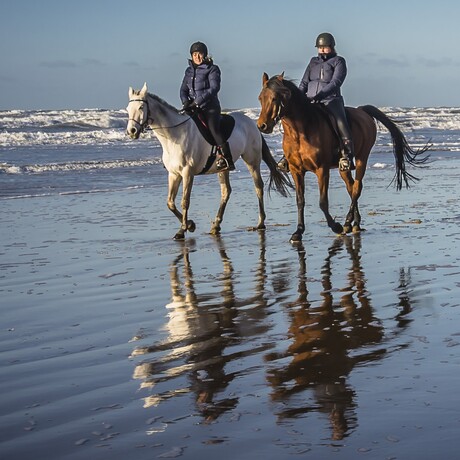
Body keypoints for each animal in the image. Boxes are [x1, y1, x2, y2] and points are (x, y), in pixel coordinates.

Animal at [126, 83, 292, 241]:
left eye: (141, 107)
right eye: (128, 109)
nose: (131, 131)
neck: (175, 136)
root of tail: (252, 123)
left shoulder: (187, 173)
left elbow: (185, 201)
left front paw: (183, 230)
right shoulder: (173, 174)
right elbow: (170, 203)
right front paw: (190, 225)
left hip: (252, 161)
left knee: (258, 187)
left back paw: (260, 222)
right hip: (223, 169)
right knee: (226, 192)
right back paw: (216, 225)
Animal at [256, 73, 430, 244]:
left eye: (274, 98)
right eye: (260, 98)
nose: (261, 126)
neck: (301, 131)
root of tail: (362, 111)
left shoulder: (322, 169)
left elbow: (323, 202)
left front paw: (336, 227)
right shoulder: (296, 170)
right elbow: (300, 200)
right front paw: (298, 232)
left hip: (362, 158)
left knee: (357, 188)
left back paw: (346, 223)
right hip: (342, 168)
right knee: (351, 188)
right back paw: (355, 223)